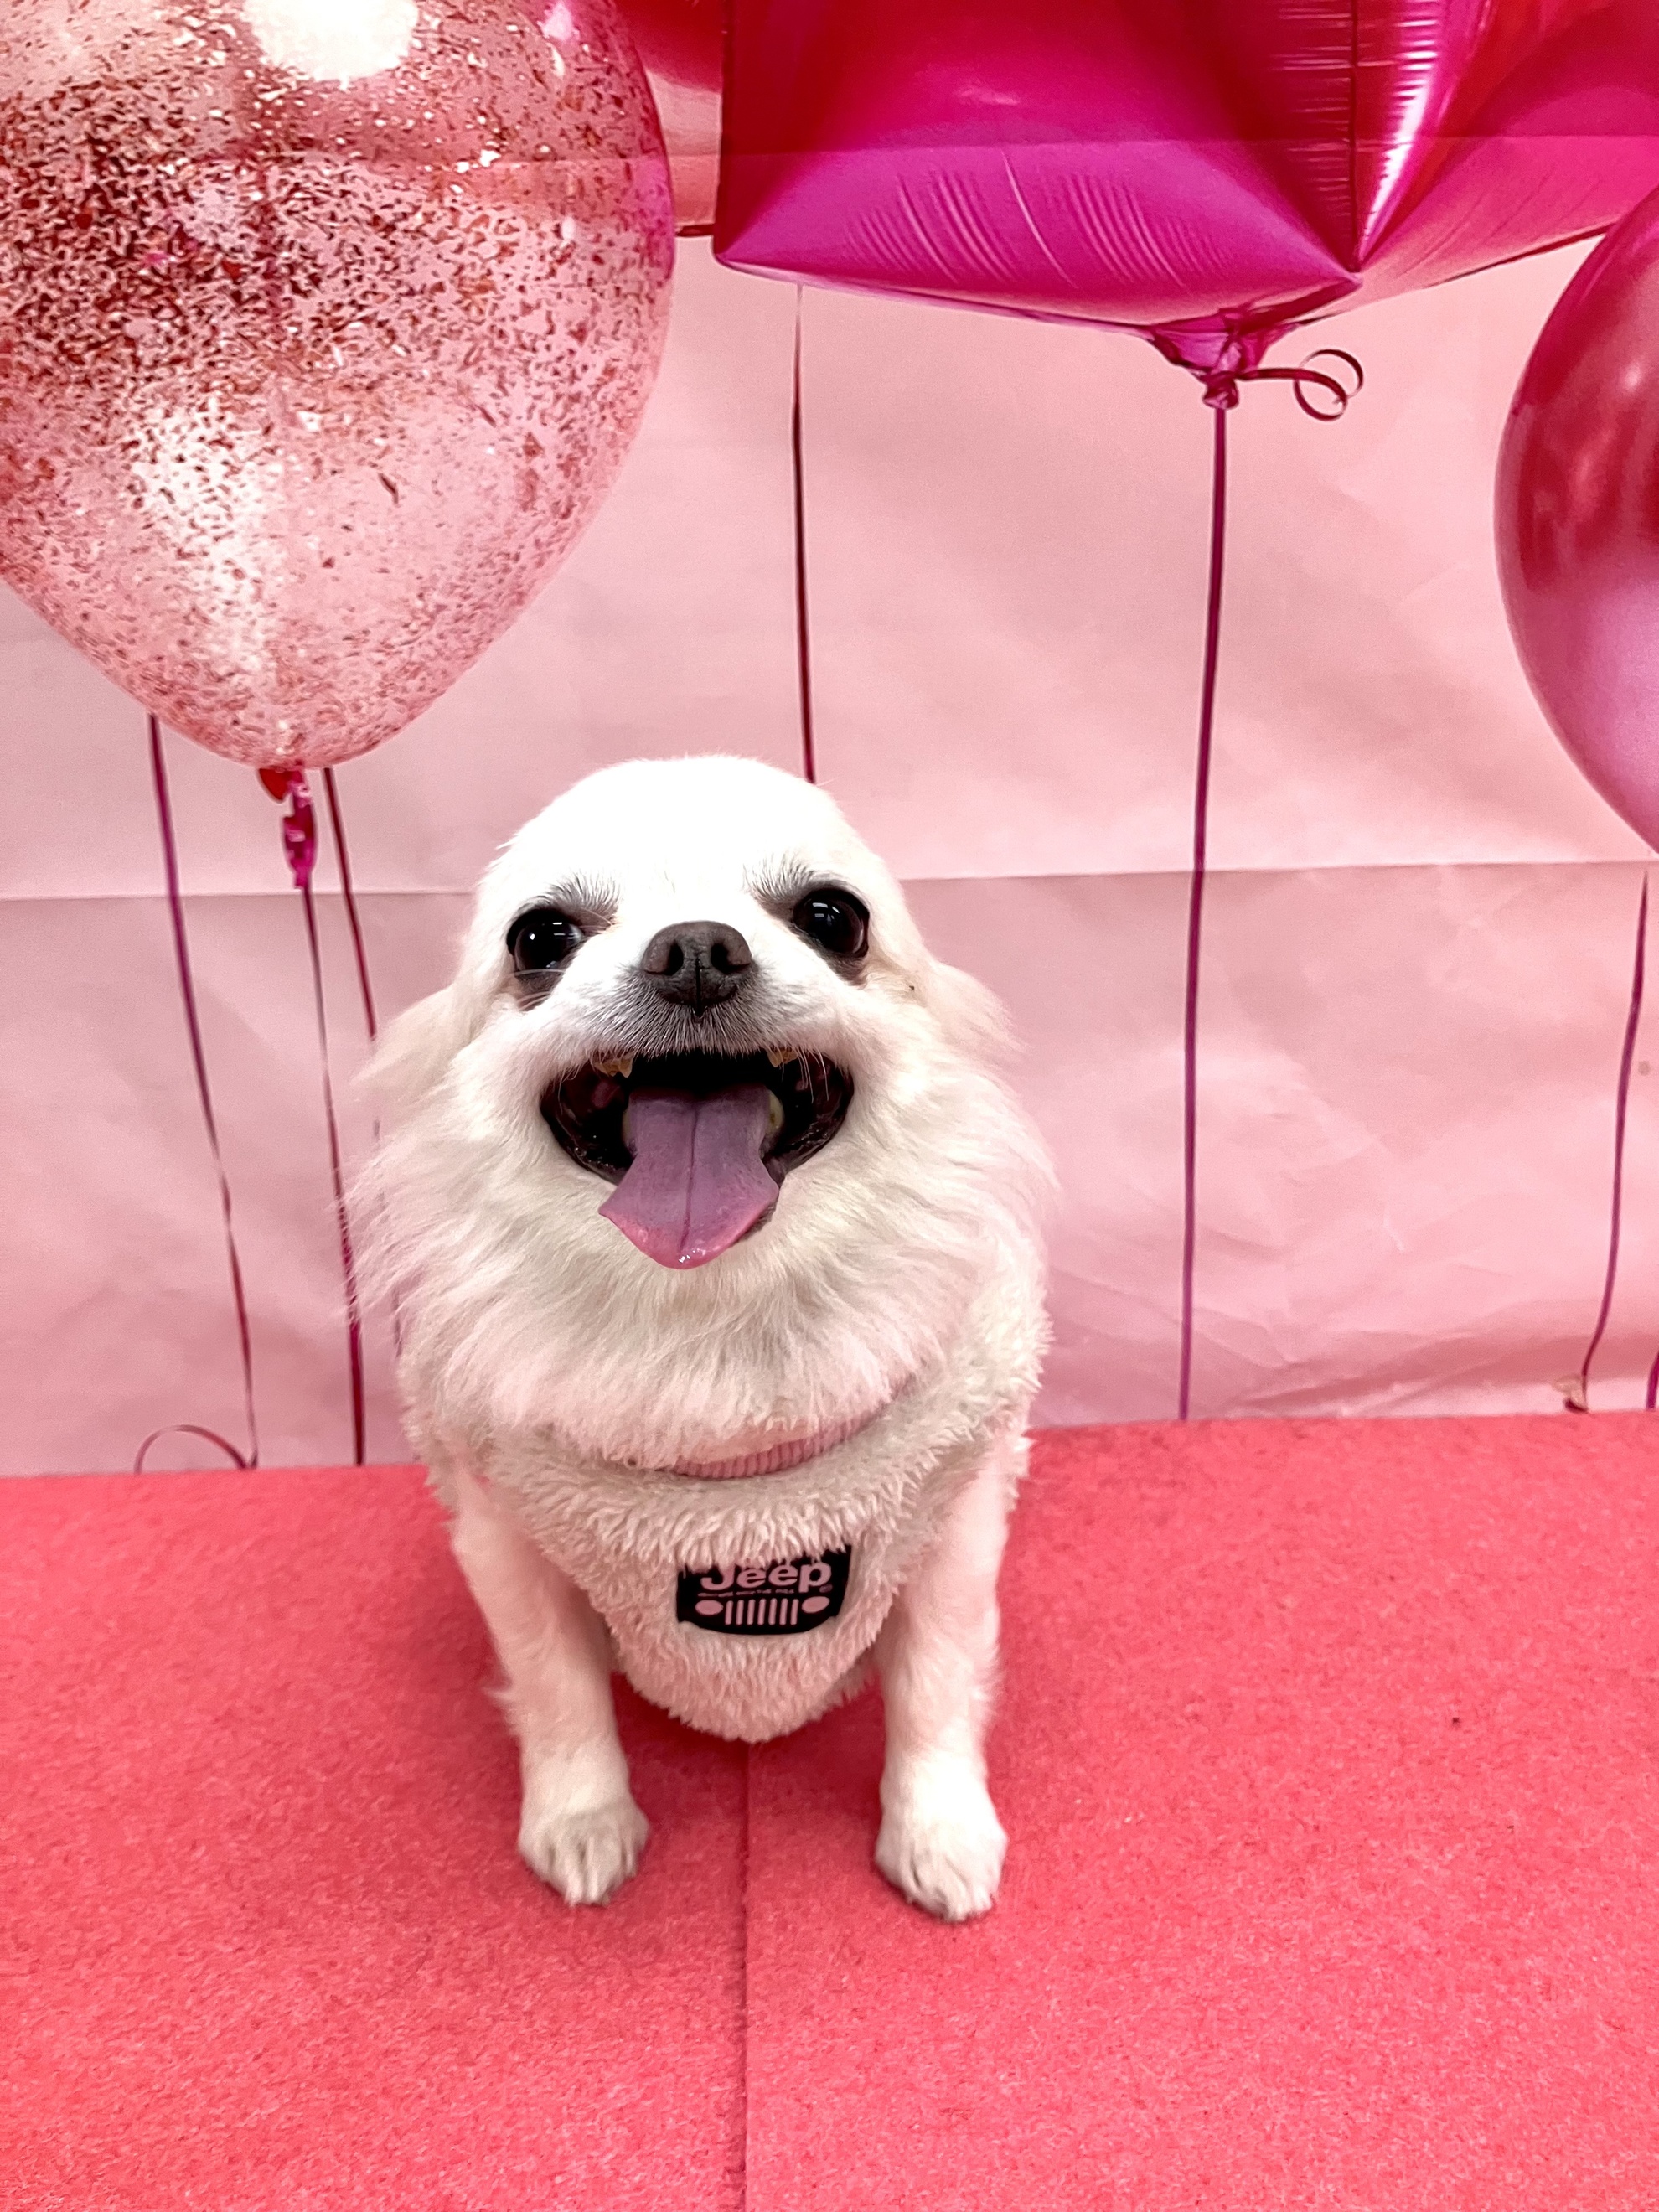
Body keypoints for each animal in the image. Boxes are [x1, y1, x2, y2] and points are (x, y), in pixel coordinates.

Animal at [366, 755, 1050, 1919]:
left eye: (833, 918)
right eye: (540, 938)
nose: (695, 948)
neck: (714, 1320)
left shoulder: (952, 1525)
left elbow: (935, 1688)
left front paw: (940, 1834)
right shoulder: (506, 1537)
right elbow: (557, 1693)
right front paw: (583, 1823)